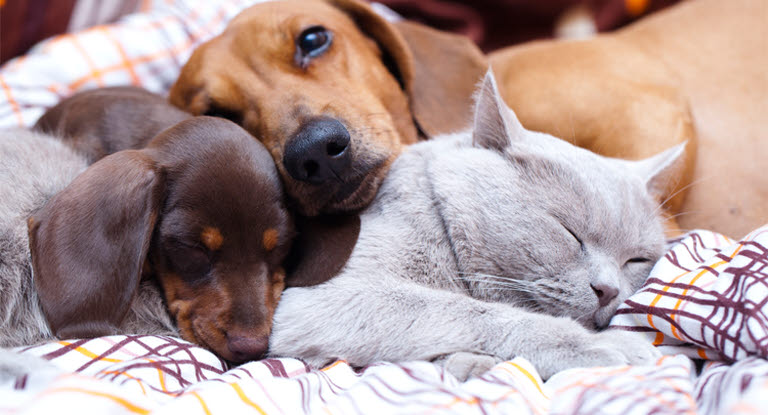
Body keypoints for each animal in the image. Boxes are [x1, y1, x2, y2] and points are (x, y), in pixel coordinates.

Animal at [268, 72, 680, 380]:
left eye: (636, 260)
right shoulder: (321, 297)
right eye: (568, 231)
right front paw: (606, 345)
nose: (609, 290)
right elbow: (465, 312)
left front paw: (468, 363)